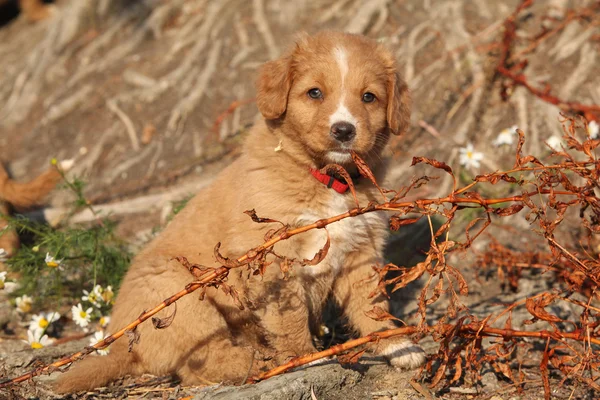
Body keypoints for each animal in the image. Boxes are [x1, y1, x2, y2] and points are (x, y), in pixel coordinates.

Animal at [54, 32, 424, 394]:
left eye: (369, 97)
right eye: (315, 93)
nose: (344, 130)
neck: (327, 178)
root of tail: (119, 348)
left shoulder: (361, 248)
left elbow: (372, 305)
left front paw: (397, 345)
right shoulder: (271, 258)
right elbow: (290, 318)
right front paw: (304, 357)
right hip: (182, 293)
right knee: (198, 366)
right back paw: (260, 363)